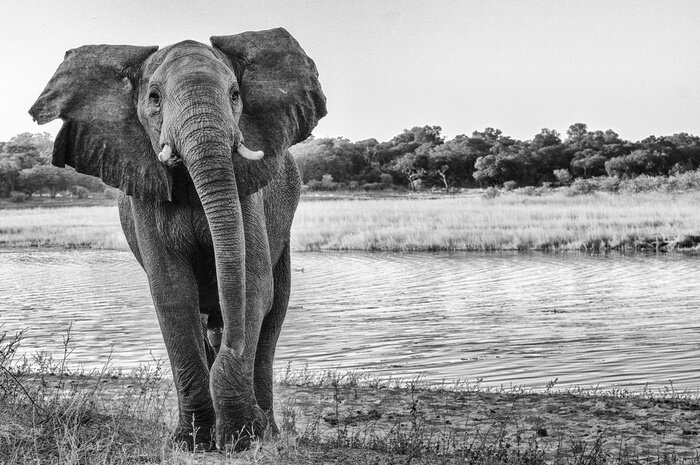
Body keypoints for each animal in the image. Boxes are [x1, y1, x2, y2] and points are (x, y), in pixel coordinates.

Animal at [29, 28, 326, 450]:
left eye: (235, 94)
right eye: (154, 98)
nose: (229, 344)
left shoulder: (248, 192)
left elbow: (253, 286)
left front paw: (241, 438)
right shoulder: (144, 192)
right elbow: (173, 293)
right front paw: (194, 442)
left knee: (273, 313)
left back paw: (268, 432)